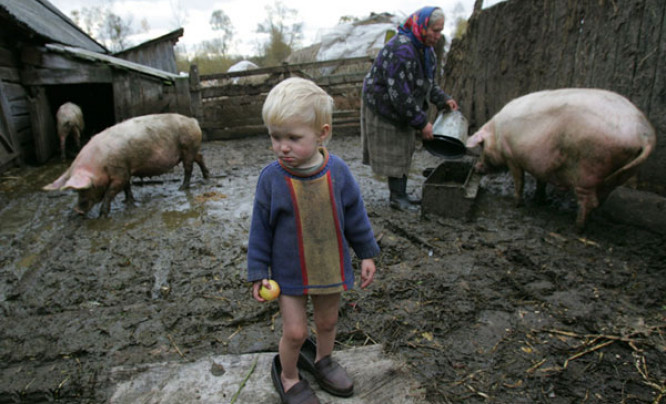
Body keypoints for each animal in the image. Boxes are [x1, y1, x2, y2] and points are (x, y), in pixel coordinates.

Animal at [42, 112, 209, 216]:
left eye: (85, 188)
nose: (77, 210)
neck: (100, 162)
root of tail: (193, 121)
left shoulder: (119, 170)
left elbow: (111, 191)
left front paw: (103, 214)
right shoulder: (125, 169)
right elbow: (127, 186)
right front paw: (127, 201)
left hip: (187, 147)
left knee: (189, 168)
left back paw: (182, 188)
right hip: (190, 149)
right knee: (200, 157)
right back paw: (206, 177)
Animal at [464, 89, 656, 232]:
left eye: (482, 147)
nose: (477, 168)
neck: (496, 133)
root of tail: (644, 134)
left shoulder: (512, 157)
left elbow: (519, 181)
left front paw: (517, 204)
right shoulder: (541, 163)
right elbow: (540, 180)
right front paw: (539, 201)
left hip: (589, 167)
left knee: (589, 200)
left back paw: (577, 228)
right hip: (616, 174)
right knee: (600, 199)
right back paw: (586, 222)